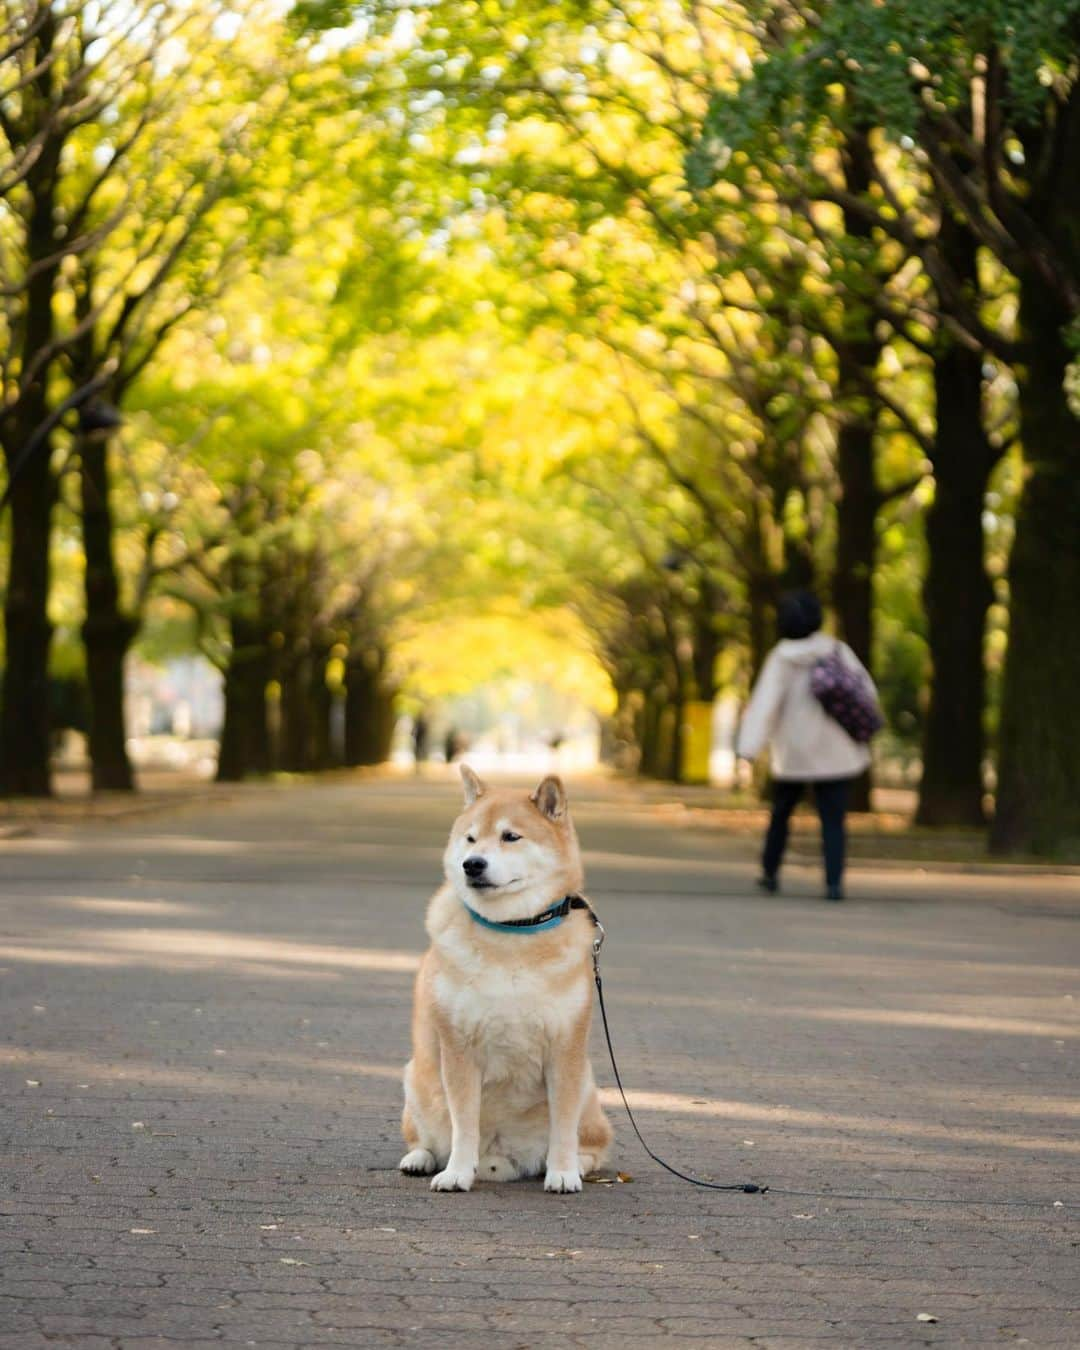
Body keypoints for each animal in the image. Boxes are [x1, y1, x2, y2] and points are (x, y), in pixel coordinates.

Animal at [399, 766, 615, 1198]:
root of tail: (505, 1160)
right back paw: (420, 1158)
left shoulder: (565, 1050)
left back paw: (575, 1165)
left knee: (593, 1144)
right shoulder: (458, 1049)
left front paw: (562, 1172)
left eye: (510, 836)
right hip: (418, 1077)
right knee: (426, 1137)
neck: (512, 932)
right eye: (470, 838)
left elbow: (563, 1126)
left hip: (588, 1088)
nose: (472, 864)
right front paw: (457, 1173)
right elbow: (464, 1125)